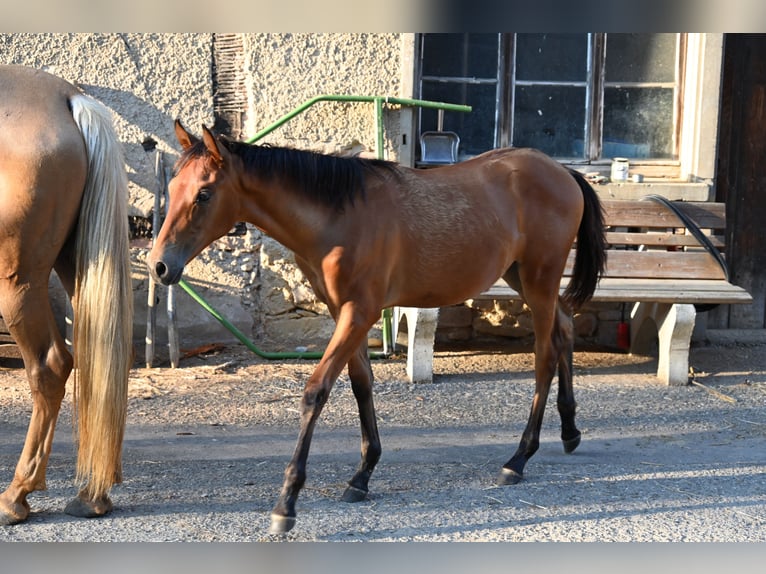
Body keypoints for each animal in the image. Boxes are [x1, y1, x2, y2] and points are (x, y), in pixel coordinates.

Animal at [0, 65, 133, 525]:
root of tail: (68, 99)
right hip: (78, 264)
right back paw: (94, 491)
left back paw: (17, 495)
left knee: (50, 367)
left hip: (19, 283)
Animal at [148, 121, 607, 534]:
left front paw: (287, 501)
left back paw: (519, 458)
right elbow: (360, 384)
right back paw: (569, 431)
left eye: (204, 193)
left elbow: (316, 390)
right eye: (173, 189)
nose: (160, 266)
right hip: (523, 278)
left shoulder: (360, 312)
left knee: (545, 355)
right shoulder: (343, 312)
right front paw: (362, 475)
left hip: (539, 279)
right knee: (565, 328)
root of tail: (561, 171)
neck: (338, 217)